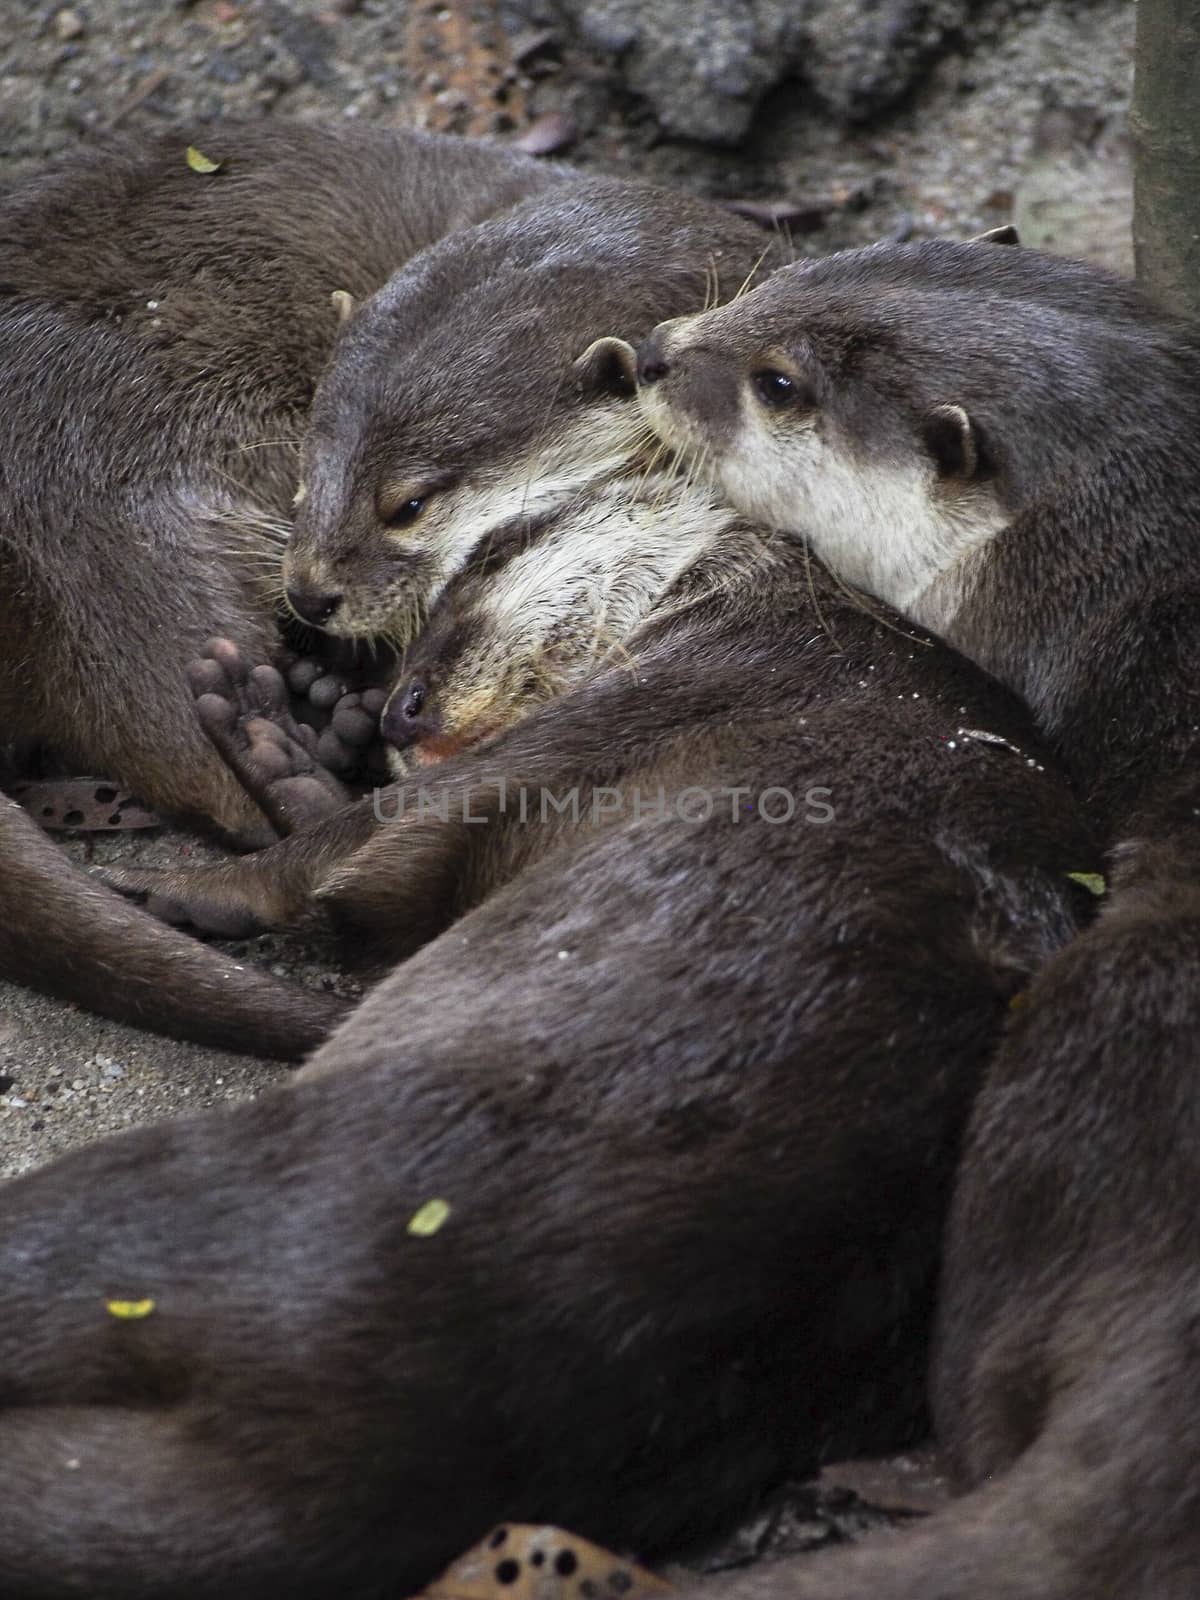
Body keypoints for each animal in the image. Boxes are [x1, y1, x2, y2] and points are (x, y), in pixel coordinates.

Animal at [0, 297, 1100, 1587]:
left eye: (481, 559)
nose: (401, 705)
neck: (808, 614)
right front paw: (293, 739)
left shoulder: (664, 687)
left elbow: (352, 854)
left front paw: (209, 855)